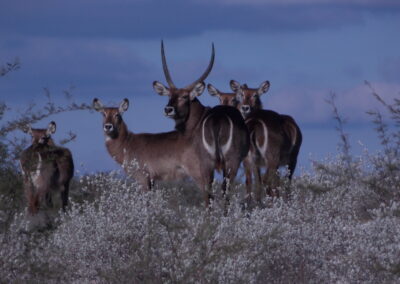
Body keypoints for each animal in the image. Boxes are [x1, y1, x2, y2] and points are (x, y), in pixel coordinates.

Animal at [153, 41, 250, 203]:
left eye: (184, 96)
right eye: (169, 95)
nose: (168, 109)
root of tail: (217, 120)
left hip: (208, 162)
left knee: (209, 192)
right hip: (229, 162)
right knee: (222, 191)